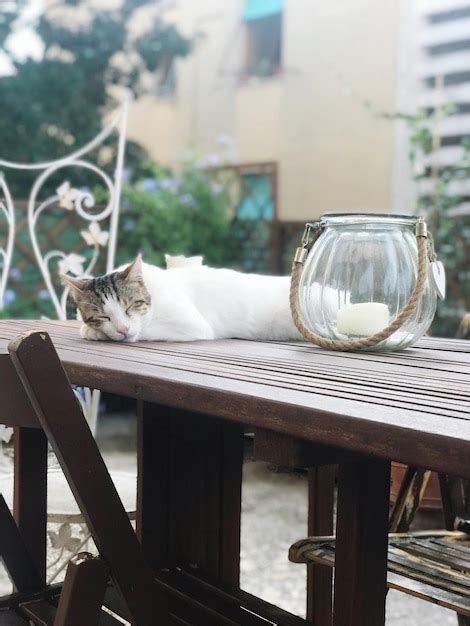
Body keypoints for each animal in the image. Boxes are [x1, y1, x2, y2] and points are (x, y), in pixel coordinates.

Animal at [61, 254, 302, 342]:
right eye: (104, 316)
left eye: (130, 307)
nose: (122, 329)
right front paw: (92, 329)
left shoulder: (193, 324)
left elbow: (141, 331)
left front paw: (94, 332)